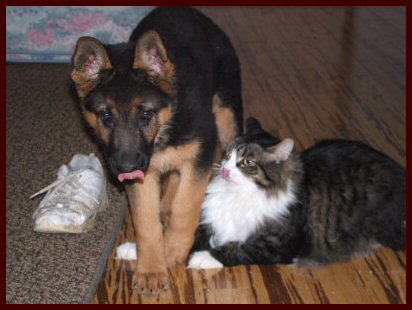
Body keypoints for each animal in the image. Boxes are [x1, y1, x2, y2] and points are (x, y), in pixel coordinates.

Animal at [70, 6, 241, 294]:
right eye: (105, 116)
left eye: (146, 114)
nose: (125, 168)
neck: (165, 126)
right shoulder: (140, 174)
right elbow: (145, 220)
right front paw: (150, 268)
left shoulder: (201, 154)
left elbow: (186, 204)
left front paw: (173, 248)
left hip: (227, 114)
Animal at [189, 117, 406, 268]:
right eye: (227, 154)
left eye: (247, 162)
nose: (224, 170)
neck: (238, 195)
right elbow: (199, 235)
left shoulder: (278, 246)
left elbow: (237, 249)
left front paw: (200, 258)